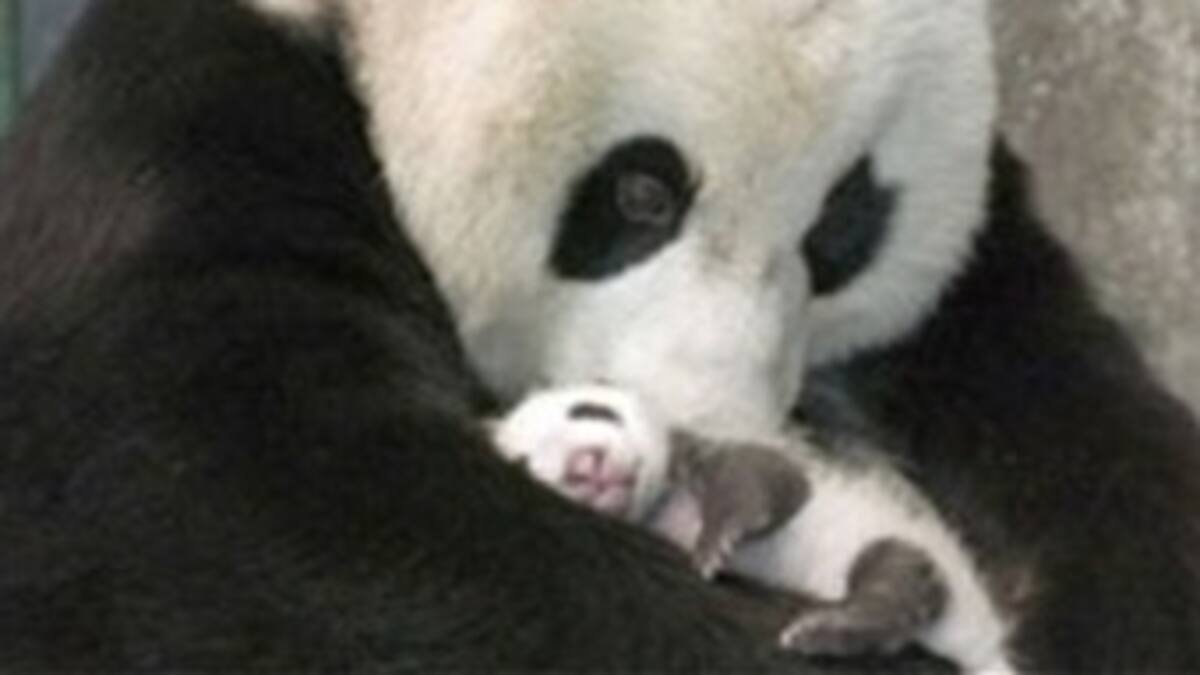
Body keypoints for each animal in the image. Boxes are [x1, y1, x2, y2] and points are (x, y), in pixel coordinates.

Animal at [0, 0, 1197, 672]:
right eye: (641, 193)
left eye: (842, 228)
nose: (714, 423)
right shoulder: (188, 137)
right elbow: (237, 509)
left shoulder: (977, 280)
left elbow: (1083, 434)